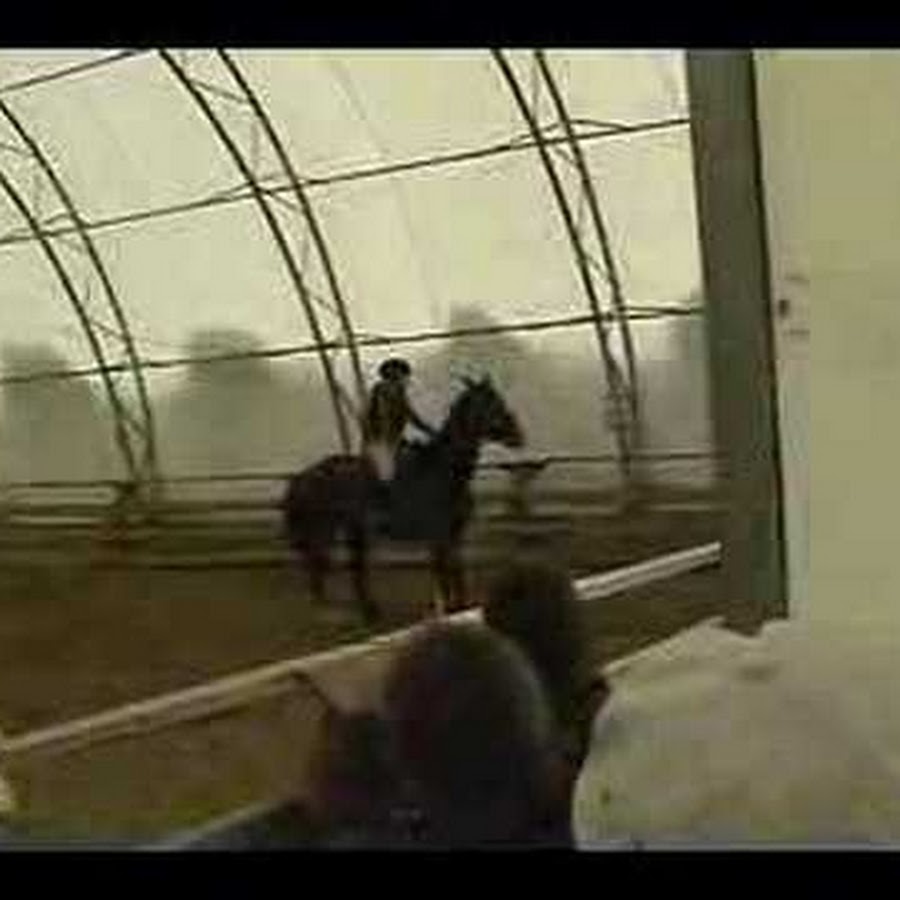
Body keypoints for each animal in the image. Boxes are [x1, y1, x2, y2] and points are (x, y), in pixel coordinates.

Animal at [281, 376, 525, 624]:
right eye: (490, 404)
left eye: (499, 399)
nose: (518, 436)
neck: (443, 470)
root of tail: (305, 475)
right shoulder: (438, 538)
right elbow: (443, 577)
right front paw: (447, 613)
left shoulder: (454, 537)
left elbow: (457, 575)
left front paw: (460, 609)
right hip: (324, 531)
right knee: (320, 568)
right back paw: (331, 613)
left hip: (354, 531)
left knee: (352, 569)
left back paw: (369, 612)